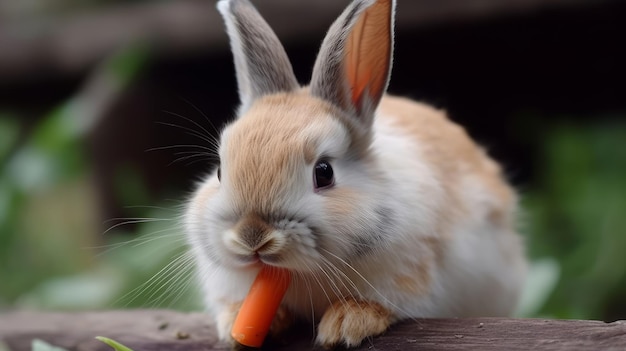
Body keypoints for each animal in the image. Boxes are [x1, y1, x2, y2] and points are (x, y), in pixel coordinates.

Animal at [184, 0, 528, 348]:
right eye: (220, 171)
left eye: (324, 173)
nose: (253, 237)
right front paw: (236, 325)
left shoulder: (409, 275)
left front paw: (346, 323)